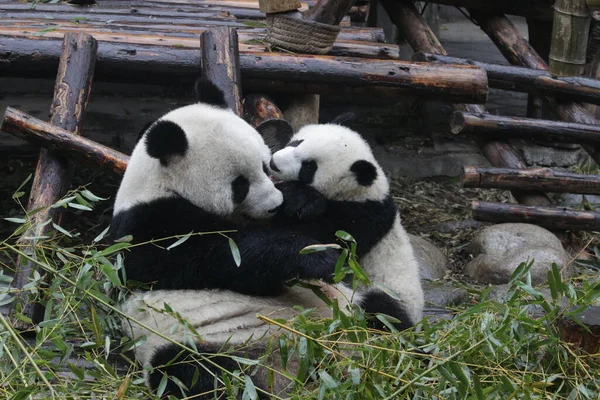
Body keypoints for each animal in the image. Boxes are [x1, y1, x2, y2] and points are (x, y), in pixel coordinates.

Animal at [270, 121, 424, 328]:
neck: (360, 191)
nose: (274, 163)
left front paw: (300, 198)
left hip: (391, 293)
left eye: (309, 167)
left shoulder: (364, 219)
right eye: (296, 142)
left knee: (383, 311)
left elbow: (329, 239)